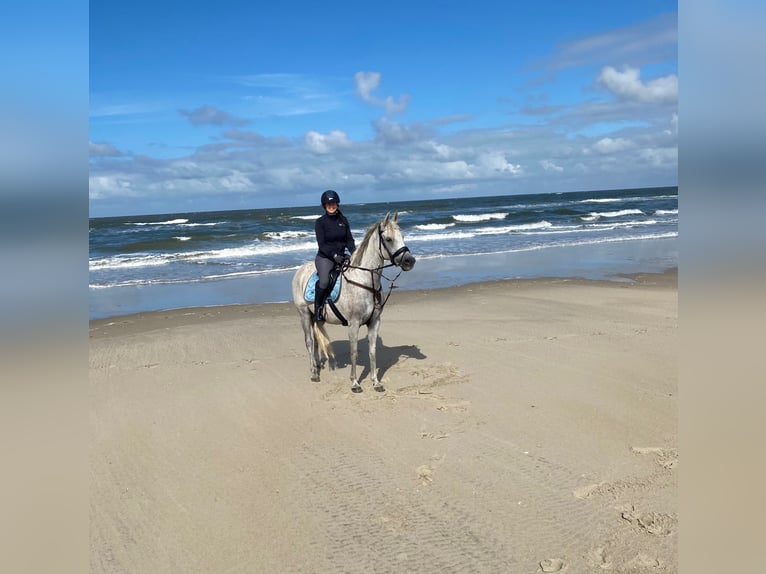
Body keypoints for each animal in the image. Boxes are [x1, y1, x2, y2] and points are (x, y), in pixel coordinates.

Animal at [291, 212, 416, 392]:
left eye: (403, 236)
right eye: (389, 239)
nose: (409, 261)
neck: (364, 281)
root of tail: (299, 271)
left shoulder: (374, 322)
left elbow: (372, 351)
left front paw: (376, 382)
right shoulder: (354, 323)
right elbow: (354, 352)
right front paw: (355, 383)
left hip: (316, 317)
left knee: (315, 343)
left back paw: (316, 367)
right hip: (304, 314)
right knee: (309, 341)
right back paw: (314, 374)